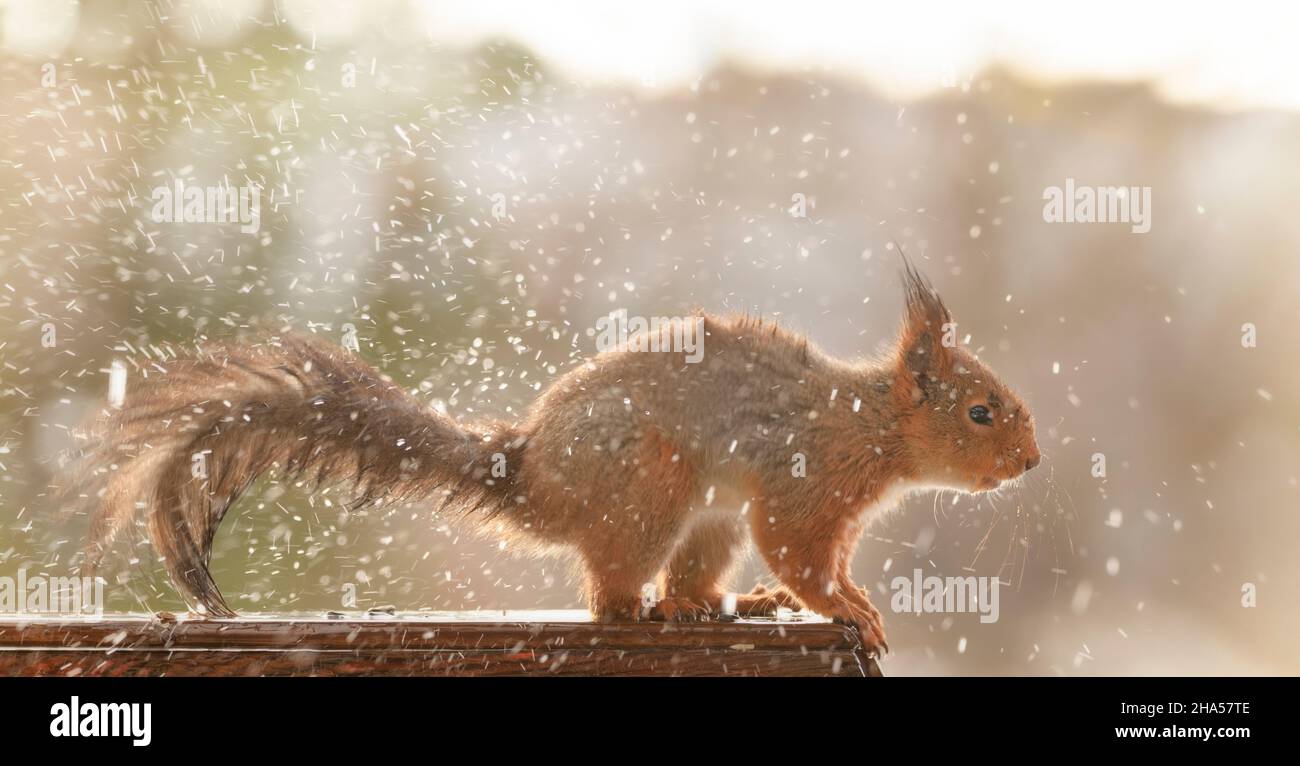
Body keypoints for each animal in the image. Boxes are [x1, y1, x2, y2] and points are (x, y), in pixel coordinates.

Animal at [70, 260, 1040, 655]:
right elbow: (805, 555)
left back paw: (721, 604)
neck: (869, 425)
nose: (1031, 462)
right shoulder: (805, 486)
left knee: (687, 576)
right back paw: (655, 611)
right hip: (654, 488)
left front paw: (830, 600)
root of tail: (533, 475)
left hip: (703, 519)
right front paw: (848, 607)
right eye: (981, 411)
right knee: (611, 595)